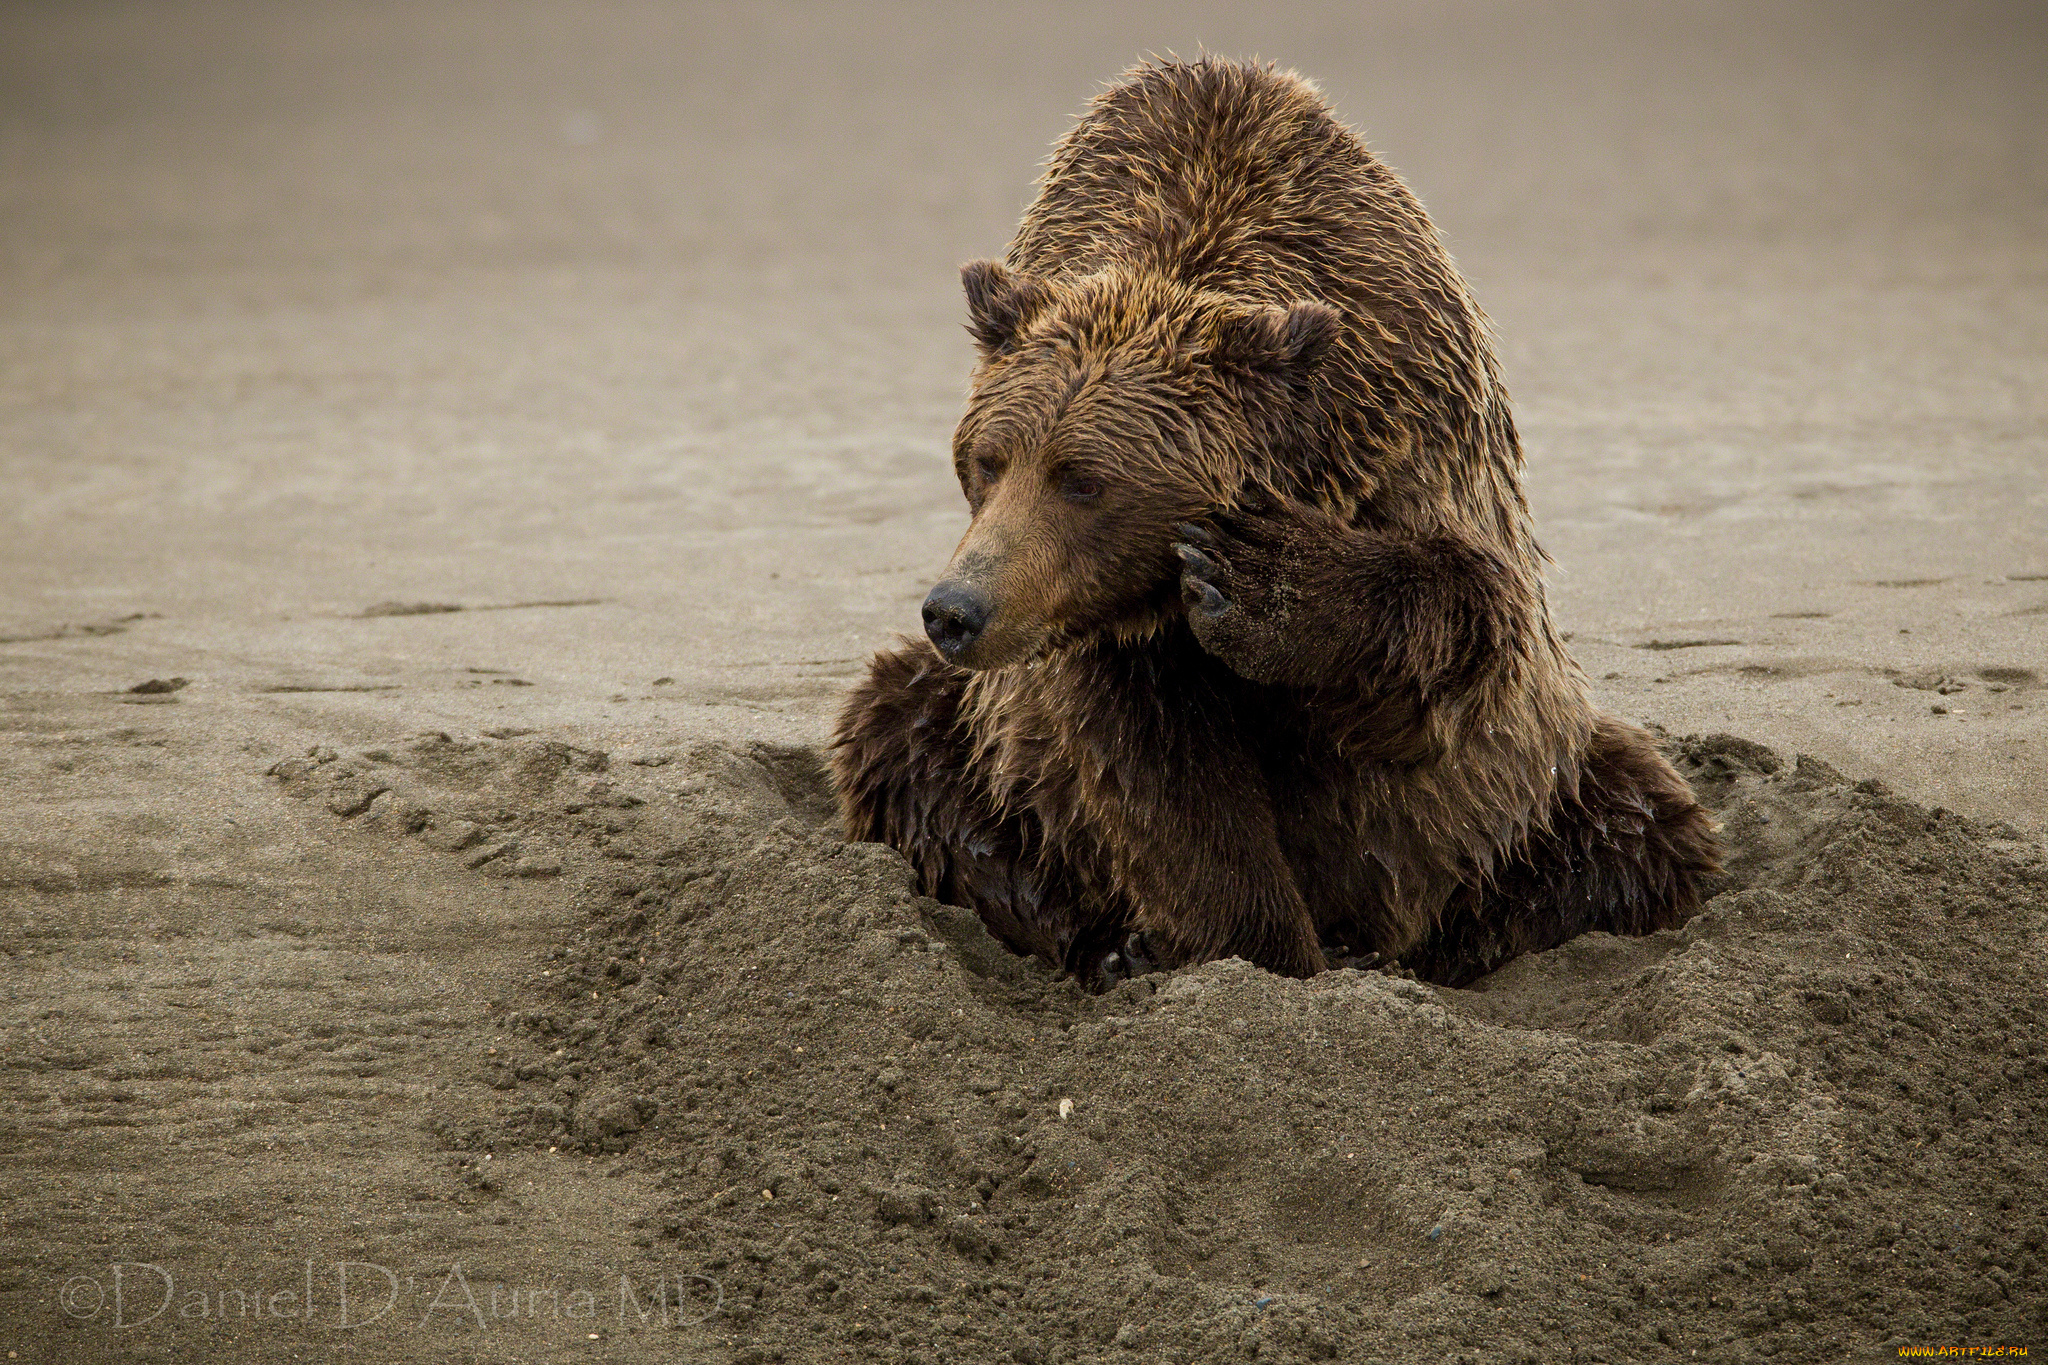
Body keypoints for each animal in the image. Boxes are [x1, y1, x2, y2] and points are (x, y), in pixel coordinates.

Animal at [827, 56, 1712, 994]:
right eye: (988, 460)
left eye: (1083, 480)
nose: (957, 610)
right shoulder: (1110, 637)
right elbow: (1161, 775)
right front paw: (1257, 946)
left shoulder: (1410, 424)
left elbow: (1463, 622)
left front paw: (1260, 582)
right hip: (979, 739)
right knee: (898, 732)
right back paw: (1110, 941)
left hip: (1539, 789)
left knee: (1637, 831)